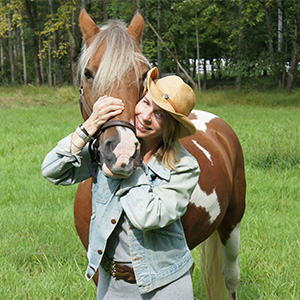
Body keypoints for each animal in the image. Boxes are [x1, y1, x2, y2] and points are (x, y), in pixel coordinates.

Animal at [74, 9, 245, 300]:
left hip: (232, 224)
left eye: (143, 74)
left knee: (231, 277)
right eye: (88, 73)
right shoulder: (98, 269)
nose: (122, 150)